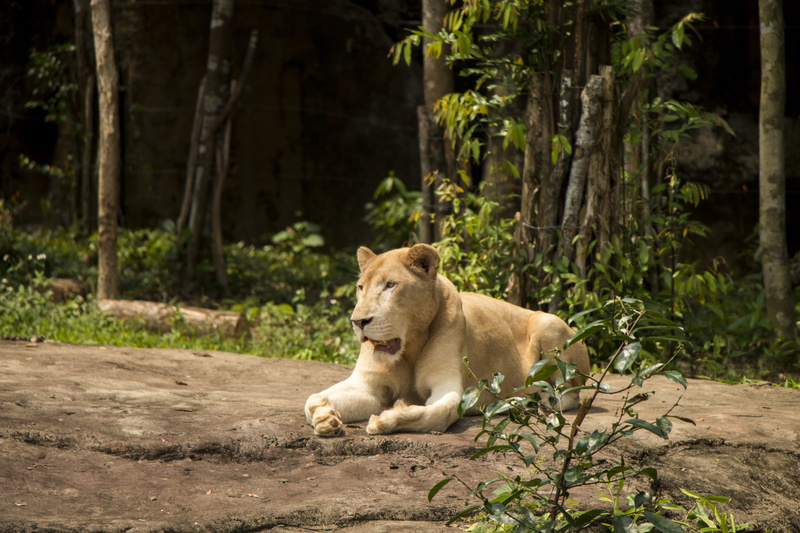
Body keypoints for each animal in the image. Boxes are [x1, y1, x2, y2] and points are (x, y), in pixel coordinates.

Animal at [304, 244, 590, 437]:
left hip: (548, 324)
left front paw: (386, 419)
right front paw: (325, 416)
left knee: (573, 393)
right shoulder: (367, 385)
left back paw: (538, 402)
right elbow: (311, 400)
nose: (358, 321)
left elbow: (436, 414)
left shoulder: (448, 386)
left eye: (390, 285)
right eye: (360, 287)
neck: (409, 347)